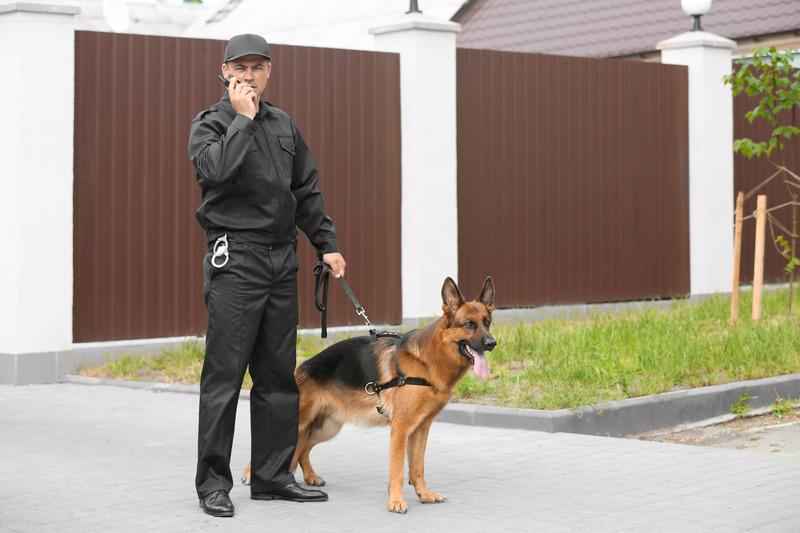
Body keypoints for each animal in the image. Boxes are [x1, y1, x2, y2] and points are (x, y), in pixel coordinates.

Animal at [241, 274, 496, 512]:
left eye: (487, 322)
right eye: (469, 324)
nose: (492, 343)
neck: (427, 360)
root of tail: (303, 366)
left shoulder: (421, 429)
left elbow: (418, 468)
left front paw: (424, 495)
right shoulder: (401, 429)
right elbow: (397, 470)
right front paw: (396, 501)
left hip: (326, 428)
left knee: (303, 449)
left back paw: (310, 477)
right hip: (301, 421)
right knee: (277, 444)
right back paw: (251, 474)